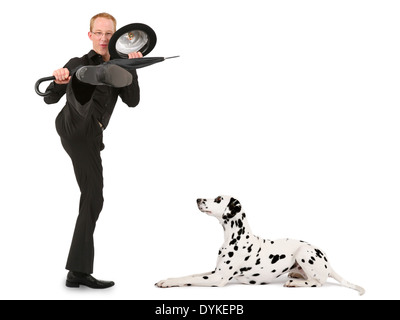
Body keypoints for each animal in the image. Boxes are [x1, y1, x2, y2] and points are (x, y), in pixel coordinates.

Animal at [156, 195, 366, 296]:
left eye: (218, 199)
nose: (198, 199)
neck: (236, 236)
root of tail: (327, 262)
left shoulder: (218, 278)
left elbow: (187, 279)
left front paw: (167, 283)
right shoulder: (214, 271)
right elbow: (189, 275)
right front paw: (167, 279)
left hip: (304, 252)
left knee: (318, 282)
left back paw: (296, 282)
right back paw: (297, 275)